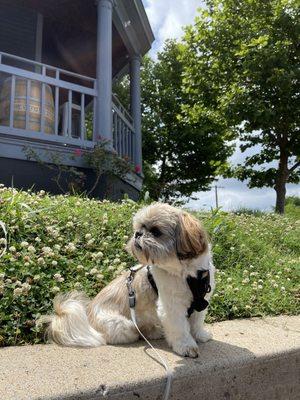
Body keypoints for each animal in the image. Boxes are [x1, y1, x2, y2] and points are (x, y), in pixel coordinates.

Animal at [41, 205, 214, 358]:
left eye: (156, 232)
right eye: (139, 228)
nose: (138, 234)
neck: (188, 274)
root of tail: (88, 318)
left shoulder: (201, 302)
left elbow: (197, 322)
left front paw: (200, 335)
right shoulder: (172, 307)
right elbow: (180, 329)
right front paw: (186, 346)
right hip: (125, 326)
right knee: (133, 332)